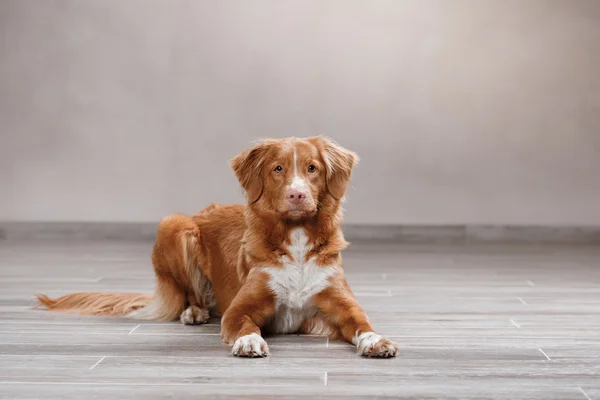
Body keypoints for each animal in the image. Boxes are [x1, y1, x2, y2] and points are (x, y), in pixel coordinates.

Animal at [38, 136, 404, 358]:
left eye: (312, 168)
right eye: (278, 169)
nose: (297, 194)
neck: (296, 241)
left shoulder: (341, 304)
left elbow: (362, 322)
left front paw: (376, 341)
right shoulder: (239, 309)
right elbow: (244, 323)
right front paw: (250, 341)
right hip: (174, 225)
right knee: (192, 295)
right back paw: (194, 312)